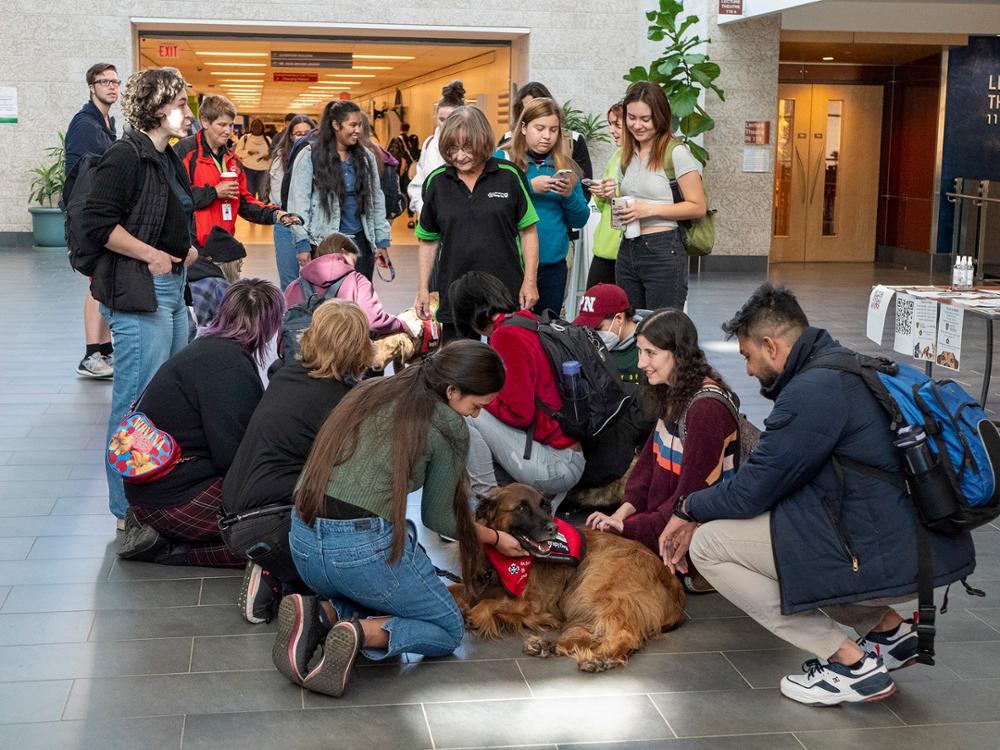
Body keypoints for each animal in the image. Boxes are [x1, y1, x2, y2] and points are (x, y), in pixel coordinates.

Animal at [450, 488, 684, 676]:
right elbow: (455, 589)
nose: (553, 528)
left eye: (545, 506)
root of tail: (672, 581)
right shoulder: (475, 586)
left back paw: (602, 657)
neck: (502, 560)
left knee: (624, 633)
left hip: (599, 587)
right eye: (522, 508)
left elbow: (493, 602)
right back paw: (548, 644)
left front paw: (474, 614)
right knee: (593, 632)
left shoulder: (535, 604)